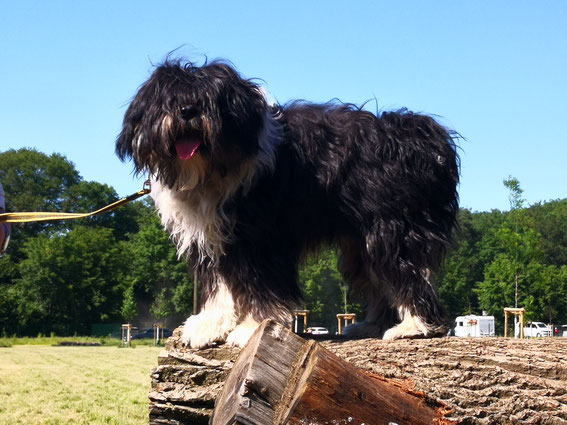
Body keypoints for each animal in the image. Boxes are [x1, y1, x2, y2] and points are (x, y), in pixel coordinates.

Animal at [116, 58, 462, 348]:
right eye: (169, 100)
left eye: (207, 101)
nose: (187, 111)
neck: (211, 169)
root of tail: (422, 137)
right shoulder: (216, 236)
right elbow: (221, 287)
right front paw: (210, 325)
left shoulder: (260, 237)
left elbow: (263, 286)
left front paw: (252, 327)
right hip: (361, 241)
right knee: (380, 279)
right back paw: (371, 325)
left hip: (392, 226)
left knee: (408, 271)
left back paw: (415, 326)